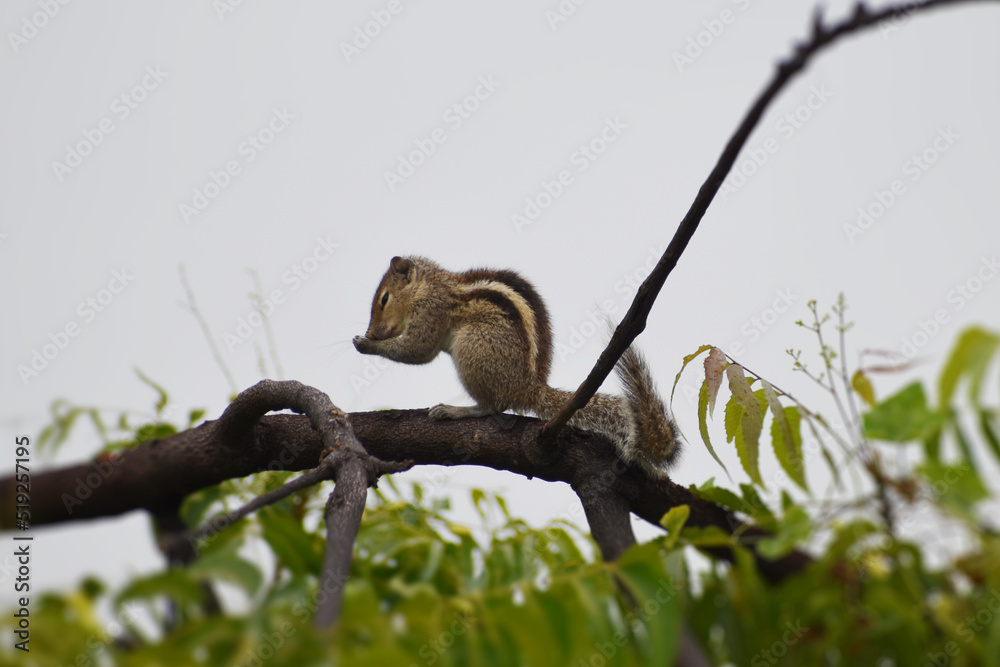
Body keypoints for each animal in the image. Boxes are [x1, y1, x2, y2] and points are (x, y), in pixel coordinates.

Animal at [352, 256, 681, 476]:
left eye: (384, 299)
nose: (372, 332)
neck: (431, 286)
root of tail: (529, 389)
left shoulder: (430, 312)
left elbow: (418, 350)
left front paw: (365, 345)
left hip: (473, 348)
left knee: (492, 406)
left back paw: (456, 410)